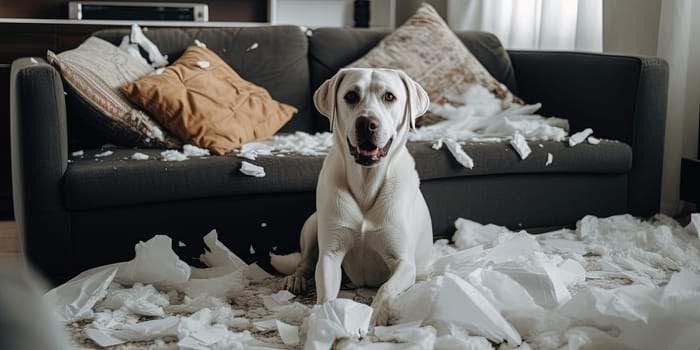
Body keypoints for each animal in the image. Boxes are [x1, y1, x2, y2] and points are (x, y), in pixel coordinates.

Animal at [282, 67, 434, 326]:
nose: (366, 123)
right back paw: (297, 278)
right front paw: (326, 321)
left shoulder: (404, 262)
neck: (366, 183)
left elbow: (386, 288)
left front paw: (375, 316)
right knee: (305, 261)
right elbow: (325, 293)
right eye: (351, 96)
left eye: (389, 96)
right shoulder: (330, 255)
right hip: (313, 223)